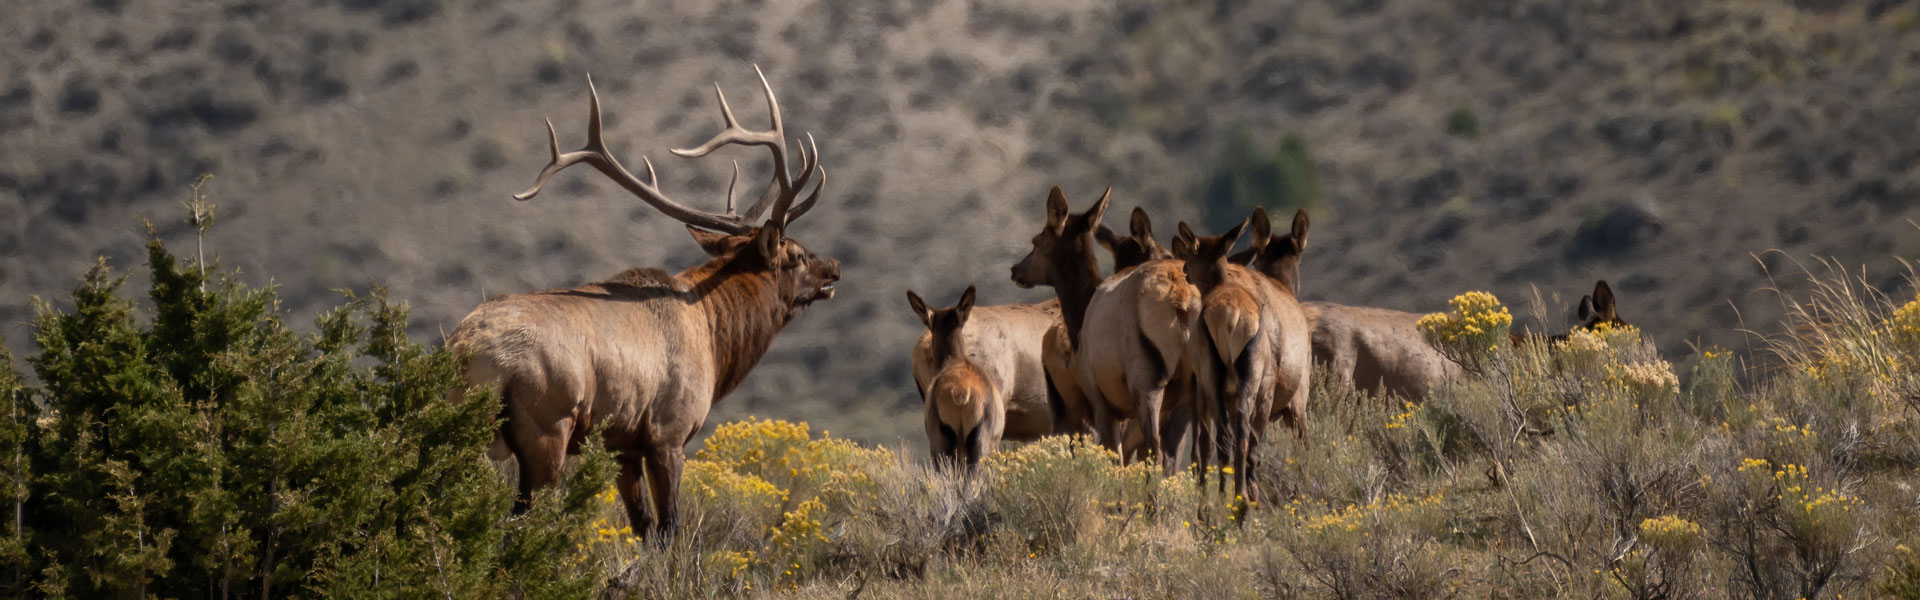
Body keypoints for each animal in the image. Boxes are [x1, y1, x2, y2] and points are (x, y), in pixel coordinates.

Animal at [453, 67, 844, 538]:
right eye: (798, 254)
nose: (835, 267)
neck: (714, 338)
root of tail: (467, 352)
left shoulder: (621, 445)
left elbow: (643, 529)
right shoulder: (666, 433)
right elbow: (670, 529)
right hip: (548, 426)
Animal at [1175, 208, 1313, 503]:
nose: (1184, 270)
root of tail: (1230, 315)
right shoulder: (1296, 400)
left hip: (1208, 383)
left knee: (1216, 439)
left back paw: (1219, 499)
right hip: (1257, 385)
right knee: (1245, 436)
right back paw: (1244, 498)